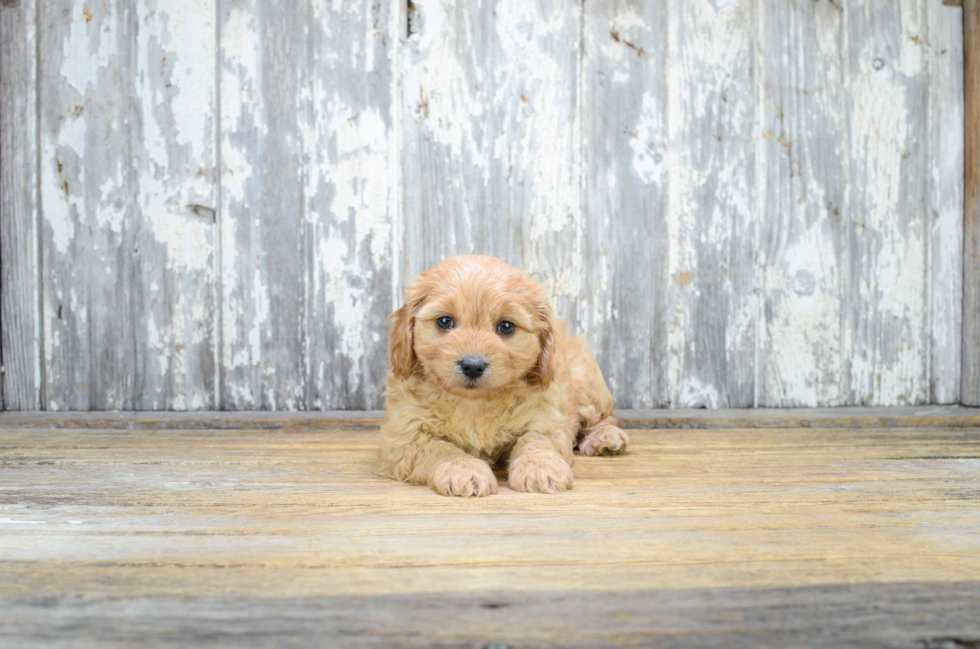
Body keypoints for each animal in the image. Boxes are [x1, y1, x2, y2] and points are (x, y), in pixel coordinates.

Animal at [376, 254, 628, 496]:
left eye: (506, 327)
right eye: (445, 321)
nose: (472, 365)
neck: (474, 403)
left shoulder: (546, 415)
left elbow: (536, 440)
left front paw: (540, 468)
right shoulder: (405, 435)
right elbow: (440, 448)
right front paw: (463, 470)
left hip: (585, 383)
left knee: (604, 417)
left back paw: (605, 438)